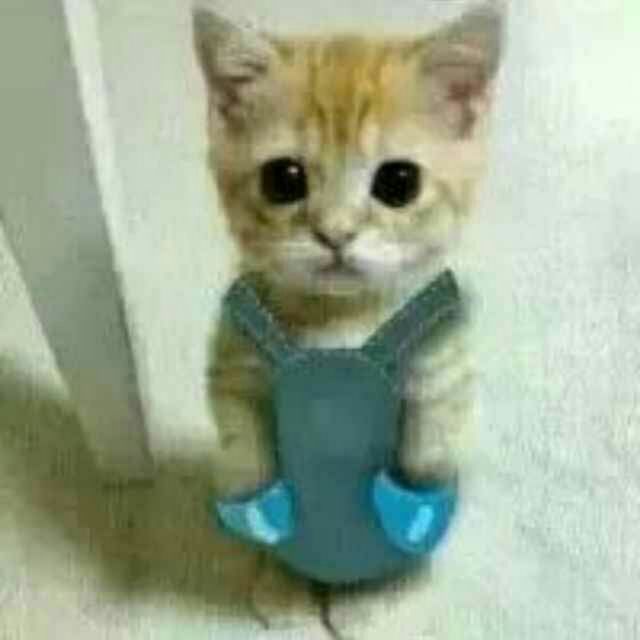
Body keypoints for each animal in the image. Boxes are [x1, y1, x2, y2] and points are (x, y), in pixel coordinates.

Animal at [193, 4, 503, 638]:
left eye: (399, 183)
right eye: (284, 179)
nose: (335, 233)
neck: (338, 324)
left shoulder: (441, 375)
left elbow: (425, 458)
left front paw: (377, 580)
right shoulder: (232, 366)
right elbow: (247, 455)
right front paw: (274, 543)